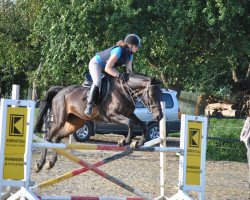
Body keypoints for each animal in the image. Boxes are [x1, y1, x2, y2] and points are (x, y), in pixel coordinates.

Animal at [34, 72, 164, 173]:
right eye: (152, 94)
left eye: (161, 94)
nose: (159, 116)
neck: (124, 90)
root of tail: (60, 91)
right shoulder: (112, 115)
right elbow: (130, 123)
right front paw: (124, 141)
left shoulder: (129, 114)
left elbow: (142, 125)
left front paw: (138, 143)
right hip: (59, 121)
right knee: (48, 136)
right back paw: (40, 165)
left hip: (74, 124)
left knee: (57, 138)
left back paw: (50, 163)